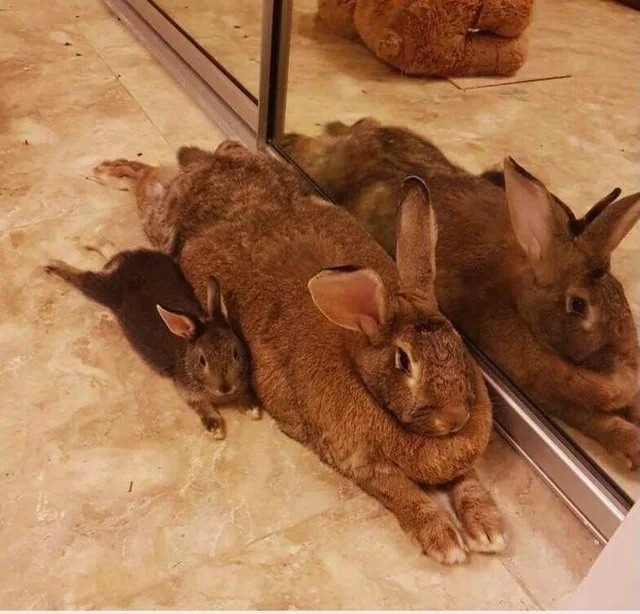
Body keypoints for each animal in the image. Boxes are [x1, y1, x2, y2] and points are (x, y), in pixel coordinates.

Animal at [44, 248, 261, 439]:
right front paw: (215, 428)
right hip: (106, 290)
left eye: (235, 353)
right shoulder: (186, 390)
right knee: (84, 278)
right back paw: (52, 264)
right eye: (202, 360)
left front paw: (252, 409)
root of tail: (128, 260)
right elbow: (201, 406)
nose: (225, 388)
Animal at [95, 146, 504, 565]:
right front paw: (445, 542)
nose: (455, 417)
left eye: (457, 343)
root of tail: (213, 162)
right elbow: (403, 494)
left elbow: (468, 481)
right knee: (150, 185)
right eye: (403, 361)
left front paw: (487, 530)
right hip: (162, 224)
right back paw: (110, 171)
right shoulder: (362, 465)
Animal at [280, 118, 640, 470]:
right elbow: (593, 419)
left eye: (622, 294)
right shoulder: (545, 392)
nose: (630, 356)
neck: (518, 299)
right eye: (579, 305)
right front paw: (632, 444)